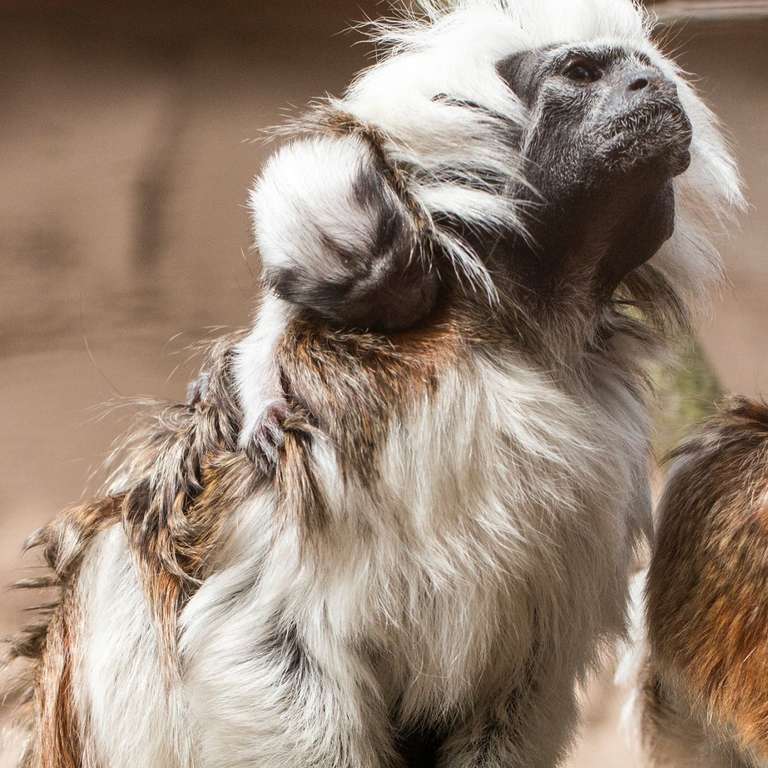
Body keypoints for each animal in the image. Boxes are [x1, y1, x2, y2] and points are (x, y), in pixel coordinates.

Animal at [3, 1, 740, 768]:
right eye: (583, 73)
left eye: (641, 68)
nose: (650, 86)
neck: (512, 340)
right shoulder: (326, 415)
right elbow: (262, 640)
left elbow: (518, 678)